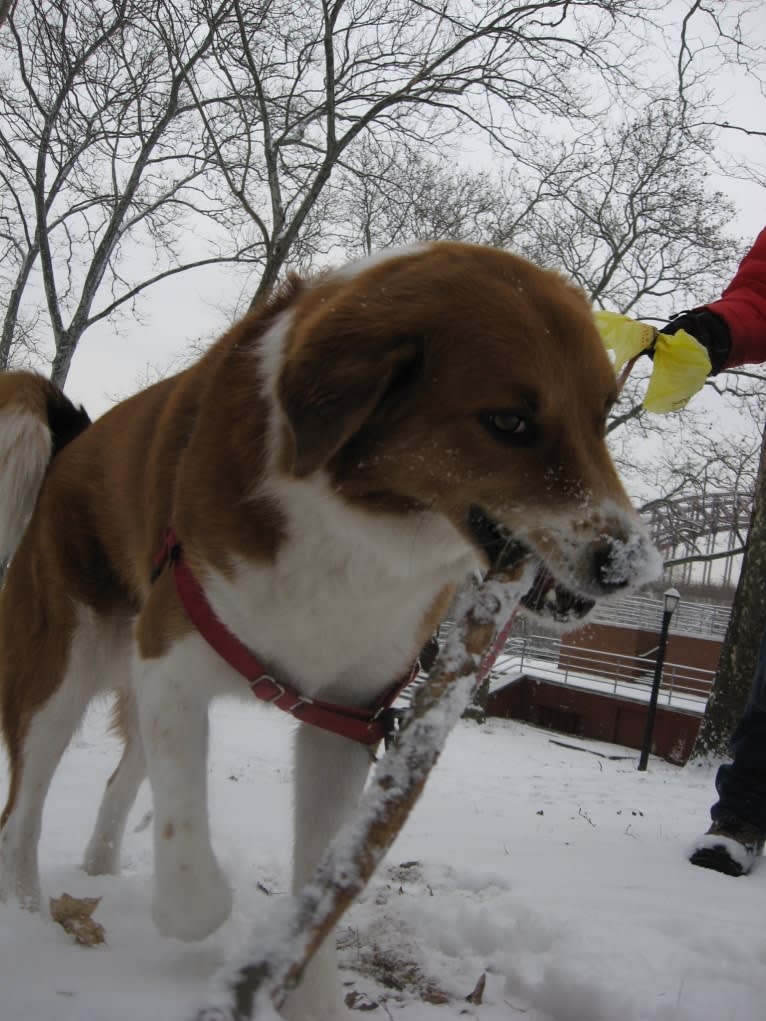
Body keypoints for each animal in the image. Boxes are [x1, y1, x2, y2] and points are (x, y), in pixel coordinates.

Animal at [0, 242, 661, 1016]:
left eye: (603, 414)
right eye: (508, 422)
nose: (627, 565)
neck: (353, 527)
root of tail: (76, 438)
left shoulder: (346, 715)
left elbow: (317, 886)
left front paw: (305, 995)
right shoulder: (175, 655)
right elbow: (191, 865)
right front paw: (188, 915)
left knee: (121, 777)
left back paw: (99, 873)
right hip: (62, 672)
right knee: (21, 814)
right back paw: (30, 914)